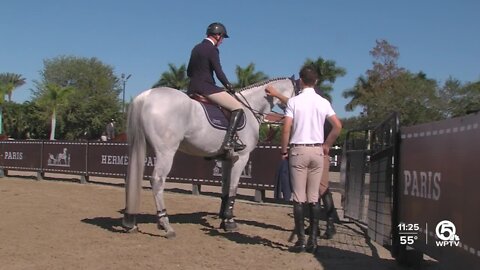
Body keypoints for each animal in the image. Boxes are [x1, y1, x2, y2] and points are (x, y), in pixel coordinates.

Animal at [122, 77, 298, 237]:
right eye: (298, 91)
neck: (250, 107)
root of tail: (145, 96)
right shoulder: (241, 157)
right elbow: (233, 187)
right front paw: (230, 222)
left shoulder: (227, 159)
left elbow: (225, 188)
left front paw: (223, 220)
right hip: (166, 151)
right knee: (157, 181)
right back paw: (166, 225)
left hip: (140, 146)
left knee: (133, 177)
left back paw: (130, 222)